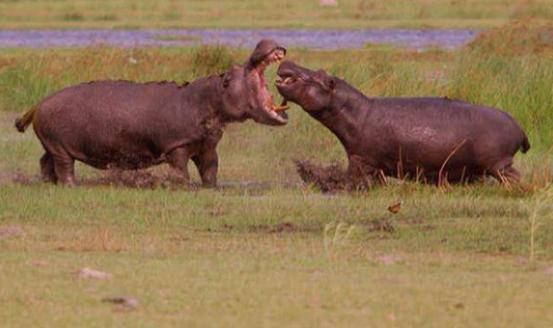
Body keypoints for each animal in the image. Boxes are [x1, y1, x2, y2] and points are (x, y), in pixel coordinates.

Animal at [15, 39, 286, 186]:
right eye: (230, 72)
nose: (263, 43)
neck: (212, 97)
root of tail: (39, 103)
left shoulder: (207, 146)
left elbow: (210, 171)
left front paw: (212, 187)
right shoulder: (177, 146)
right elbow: (180, 172)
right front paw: (182, 186)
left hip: (51, 143)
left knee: (46, 162)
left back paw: (49, 184)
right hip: (61, 146)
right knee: (64, 166)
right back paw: (70, 186)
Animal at [276, 60, 532, 186]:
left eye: (319, 78)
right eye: (320, 70)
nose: (289, 61)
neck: (353, 110)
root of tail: (520, 127)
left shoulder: (360, 159)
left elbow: (351, 178)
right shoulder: (373, 164)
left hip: (498, 163)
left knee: (514, 176)